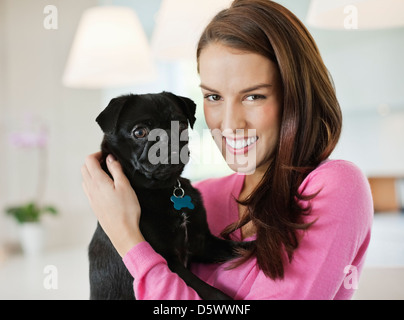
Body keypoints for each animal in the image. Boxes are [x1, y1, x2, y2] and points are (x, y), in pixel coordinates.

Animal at [89, 92, 249, 300]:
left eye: (181, 125)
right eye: (139, 132)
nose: (169, 141)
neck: (165, 188)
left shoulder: (204, 243)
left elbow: (242, 247)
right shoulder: (169, 261)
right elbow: (206, 289)